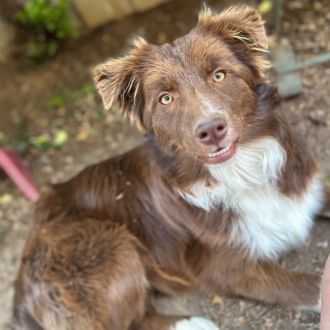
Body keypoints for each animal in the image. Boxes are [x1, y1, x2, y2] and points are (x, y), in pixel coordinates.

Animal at [13, 5, 324, 330]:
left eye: (219, 75)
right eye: (166, 98)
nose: (210, 130)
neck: (240, 172)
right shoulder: (229, 267)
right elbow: (312, 286)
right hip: (106, 241)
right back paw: (193, 322)